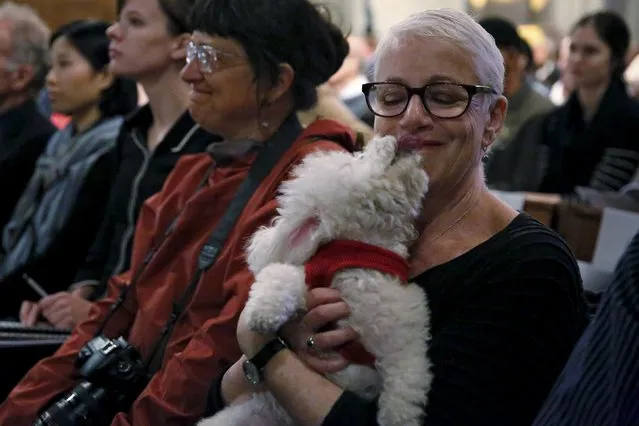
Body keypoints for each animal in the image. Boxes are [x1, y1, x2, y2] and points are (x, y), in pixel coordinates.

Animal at [198, 136, 432, 426]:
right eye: (357, 159)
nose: (389, 138)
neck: (362, 249)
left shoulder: (403, 327)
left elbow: (407, 378)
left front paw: (398, 417)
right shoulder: (312, 273)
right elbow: (280, 275)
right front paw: (262, 314)